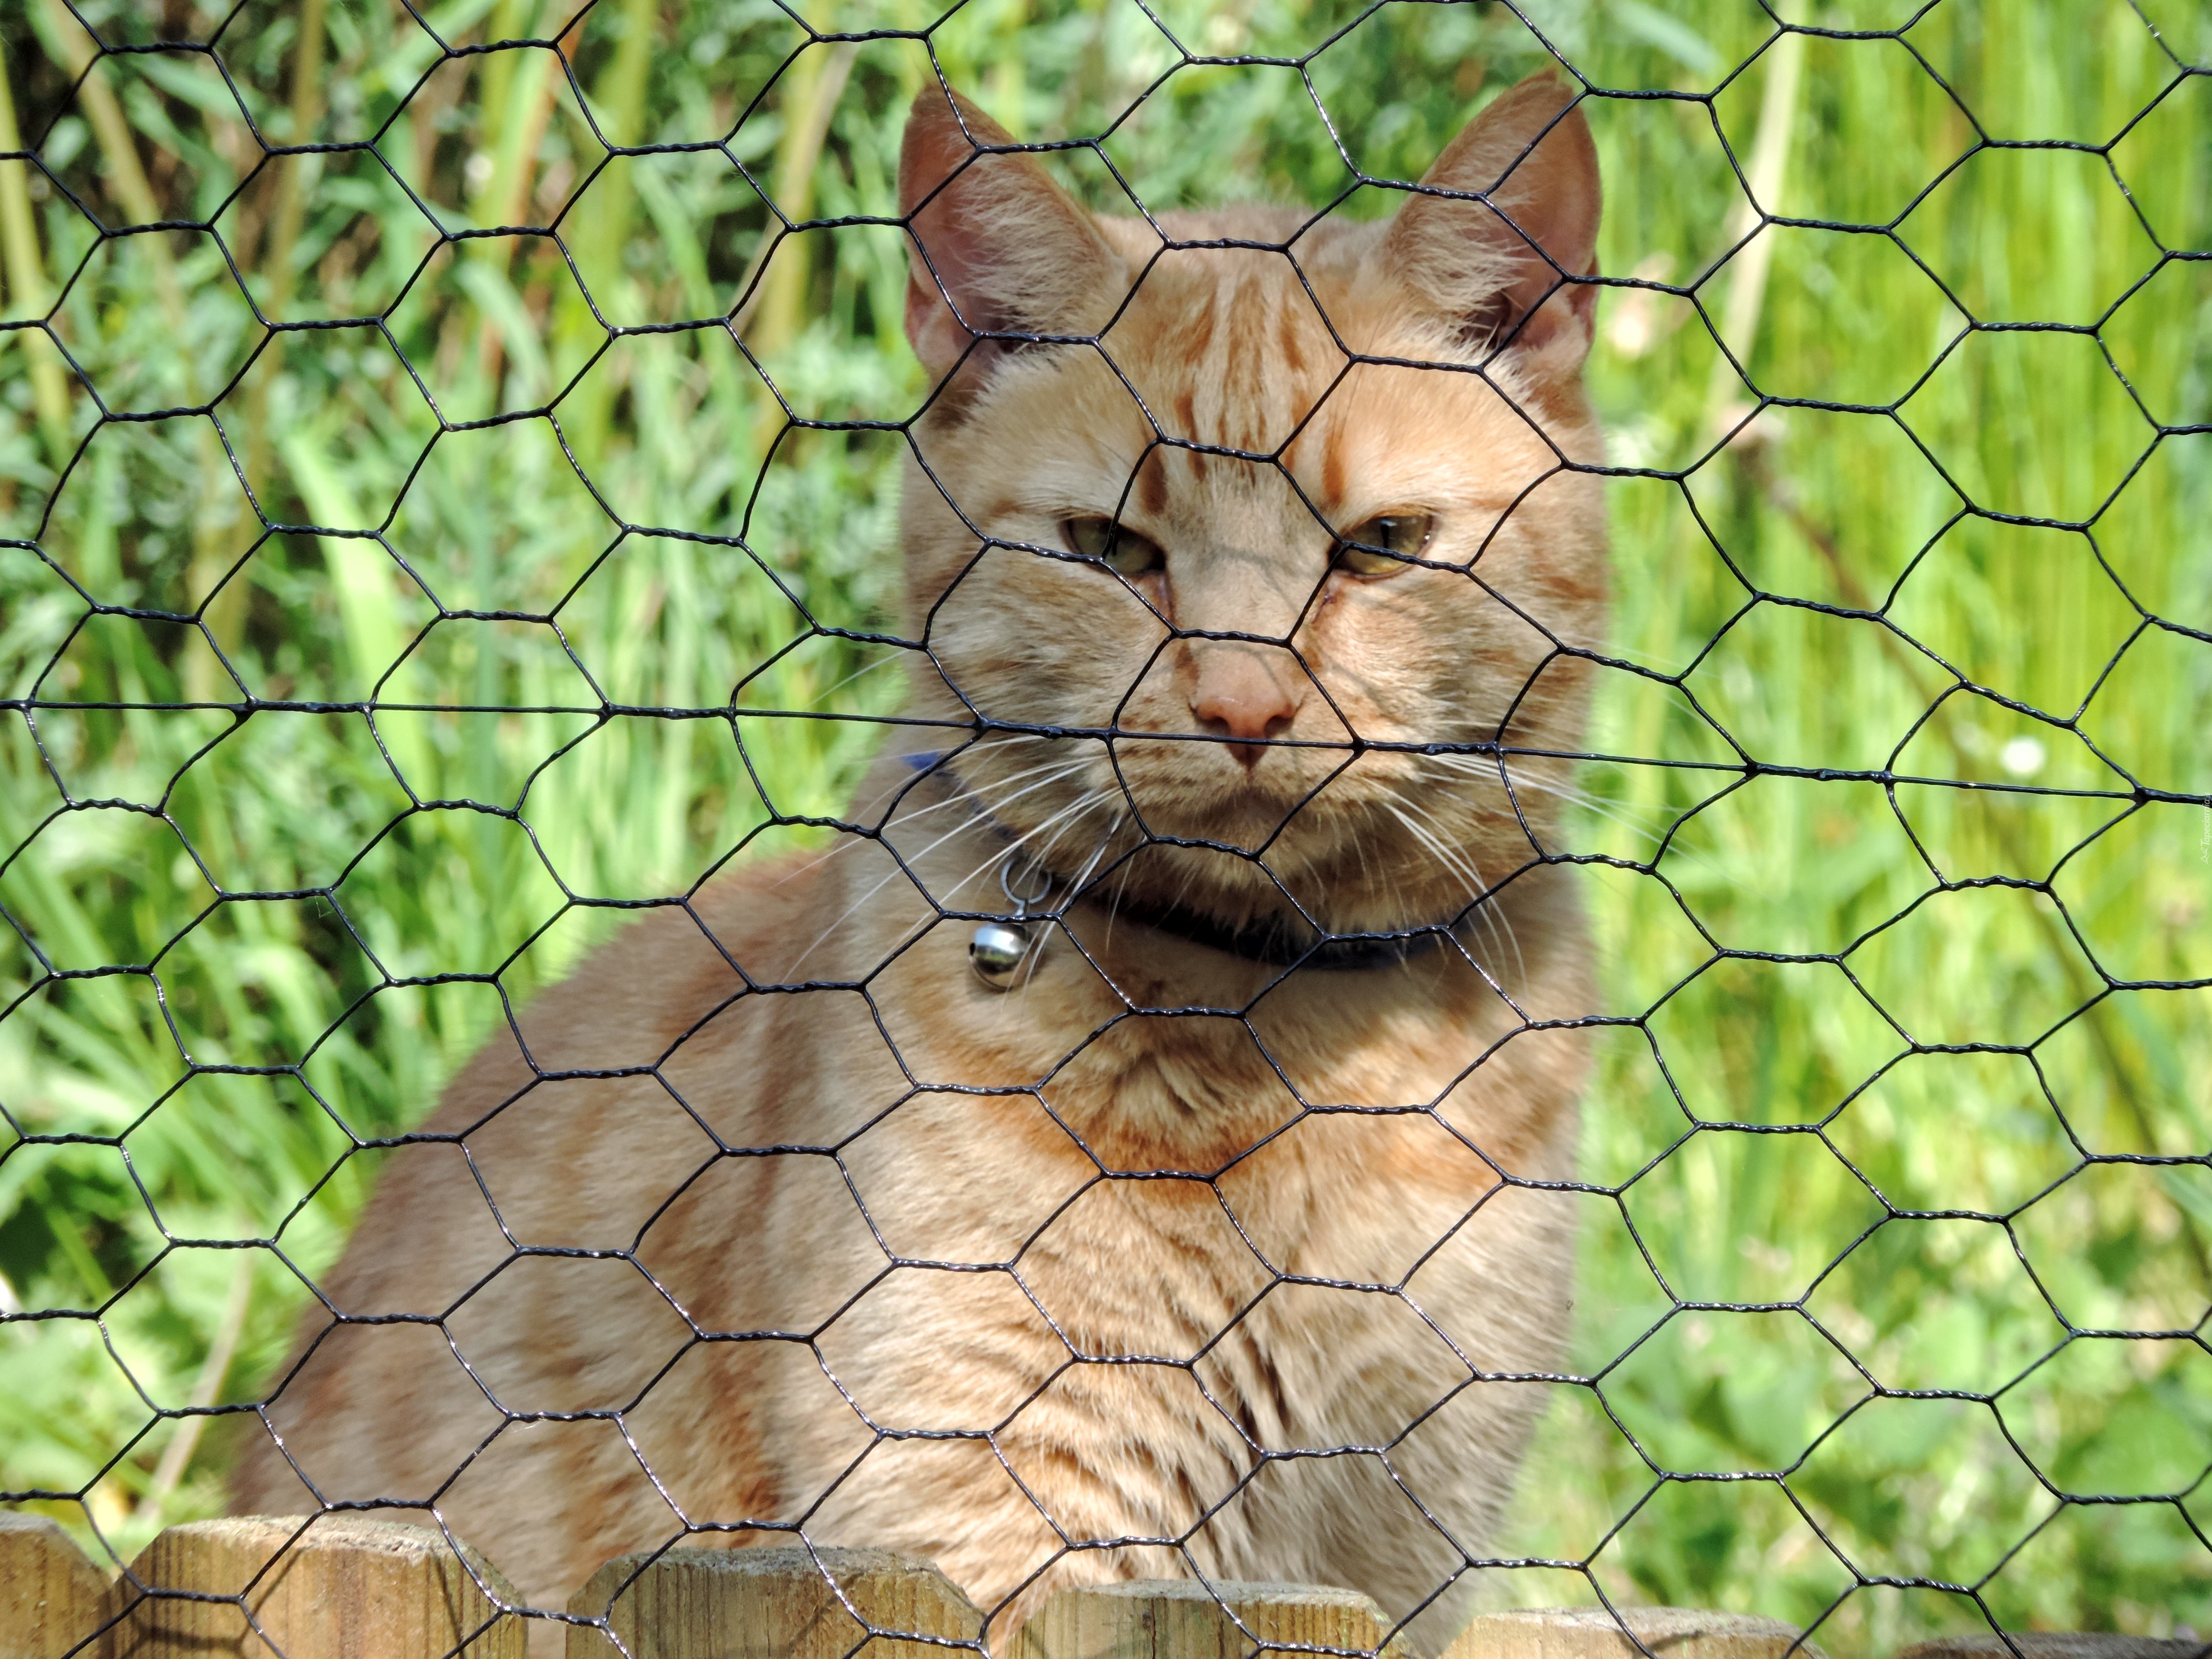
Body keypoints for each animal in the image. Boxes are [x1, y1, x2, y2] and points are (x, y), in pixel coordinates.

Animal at [233, 71, 1610, 1654]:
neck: (1279, 1042)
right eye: (1110, 548)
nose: (1245, 708)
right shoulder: (987, 1528)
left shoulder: (1397, 1562)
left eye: (1380, 547)